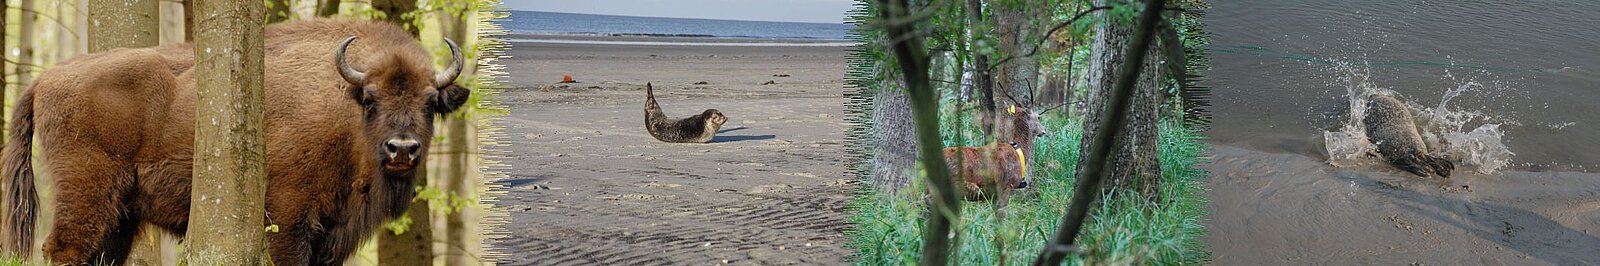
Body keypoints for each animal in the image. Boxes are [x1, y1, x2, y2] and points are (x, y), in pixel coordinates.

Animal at [0, 17, 470, 264]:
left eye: (431, 102)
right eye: (370, 99)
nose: (402, 149)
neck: (341, 105)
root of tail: (46, 79)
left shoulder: (332, 236)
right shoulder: (288, 219)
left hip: (121, 214)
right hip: (85, 192)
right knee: (64, 247)